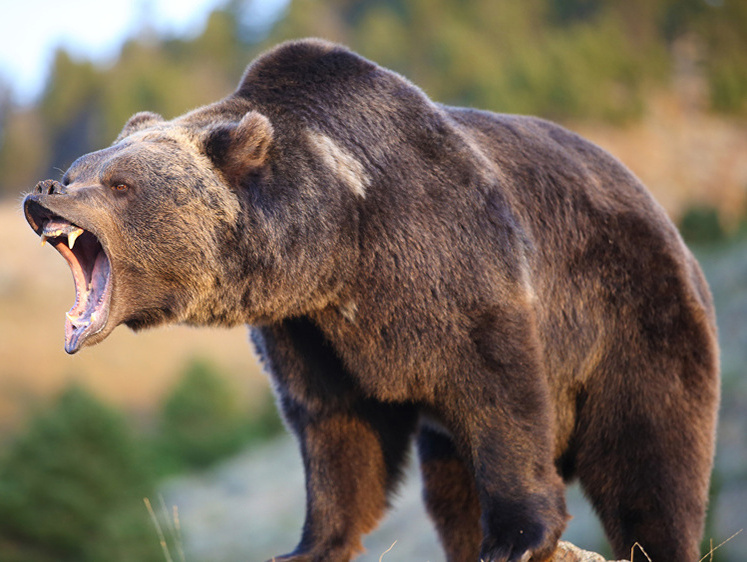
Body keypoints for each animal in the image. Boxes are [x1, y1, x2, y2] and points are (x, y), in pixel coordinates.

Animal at [23, 39, 720, 560]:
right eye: (78, 168)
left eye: (119, 183)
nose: (45, 192)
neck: (339, 244)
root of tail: (665, 219)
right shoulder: (308, 329)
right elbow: (334, 427)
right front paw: (307, 545)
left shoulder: (451, 260)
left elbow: (501, 393)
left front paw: (519, 537)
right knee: (451, 489)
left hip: (634, 315)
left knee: (650, 460)